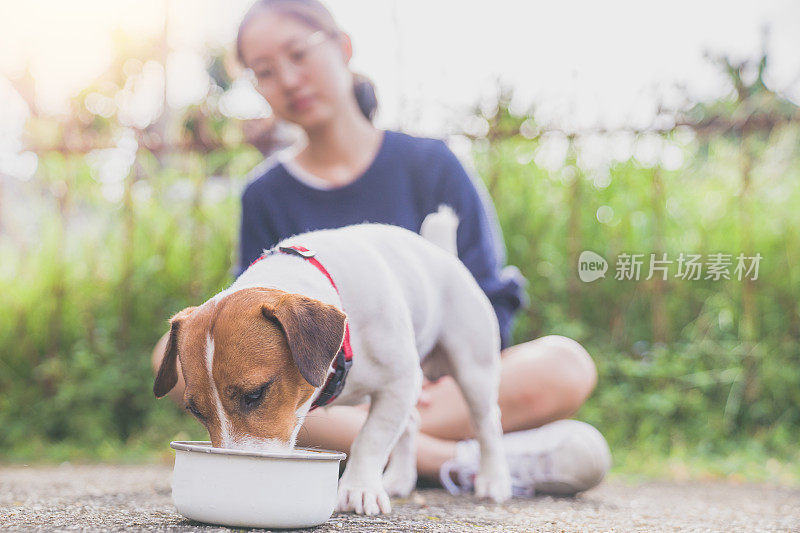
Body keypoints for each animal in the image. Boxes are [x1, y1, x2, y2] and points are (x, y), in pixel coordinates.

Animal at [153, 206, 510, 512]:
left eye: (255, 394)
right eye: (195, 410)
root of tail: (441, 252)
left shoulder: (399, 382)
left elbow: (370, 438)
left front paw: (358, 489)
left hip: (473, 370)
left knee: (486, 423)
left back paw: (493, 480)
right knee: (411, 423)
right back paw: (398, 479)